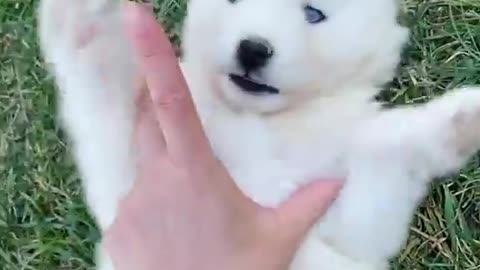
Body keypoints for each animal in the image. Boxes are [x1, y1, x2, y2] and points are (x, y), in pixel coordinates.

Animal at [38, 0, 480, 270]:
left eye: (314, 13)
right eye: (233, 0)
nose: (252, 48)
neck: (262, 123)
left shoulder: (349, 219)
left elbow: (384, 152)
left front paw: (462, 118)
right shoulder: (134, 159)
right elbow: (107, 79)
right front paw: (83, 15)